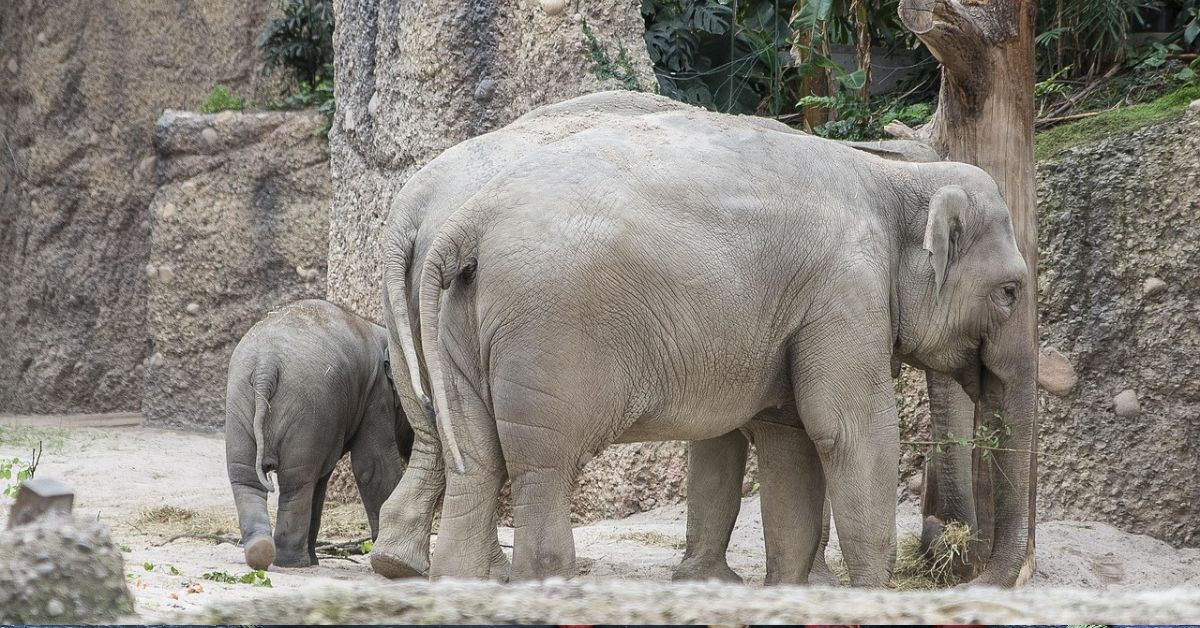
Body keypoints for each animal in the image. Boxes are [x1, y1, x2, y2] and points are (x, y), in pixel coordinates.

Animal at [224, 300, 412, 569]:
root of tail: (266, 365)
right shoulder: (376, 394)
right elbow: (373, 467)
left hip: (241, 400)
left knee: (248, 478)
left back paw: (263, 553)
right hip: (307, 404)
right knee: (297, 481)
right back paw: (294, 562)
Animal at [410, 106, 1032, 585]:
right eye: (1010, 291)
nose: (974, 569)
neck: (893, 178)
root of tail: (469, 220)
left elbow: (789, 441)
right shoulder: (844, 293)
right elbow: (850, 432)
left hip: (457, 327)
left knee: (475, 464)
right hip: (547, 337)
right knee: (544, 467)